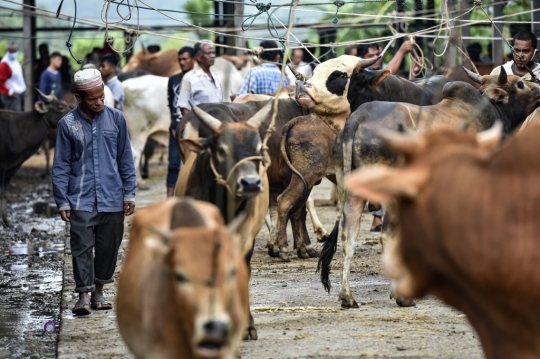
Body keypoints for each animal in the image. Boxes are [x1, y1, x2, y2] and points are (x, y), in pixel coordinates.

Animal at [316, 67, 540, 310]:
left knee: (348, 236)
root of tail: (356, 120)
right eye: (520, 84)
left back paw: (348, 297)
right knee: (386, 237)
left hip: (352, 191)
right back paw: (401, 296)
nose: (538, 87)